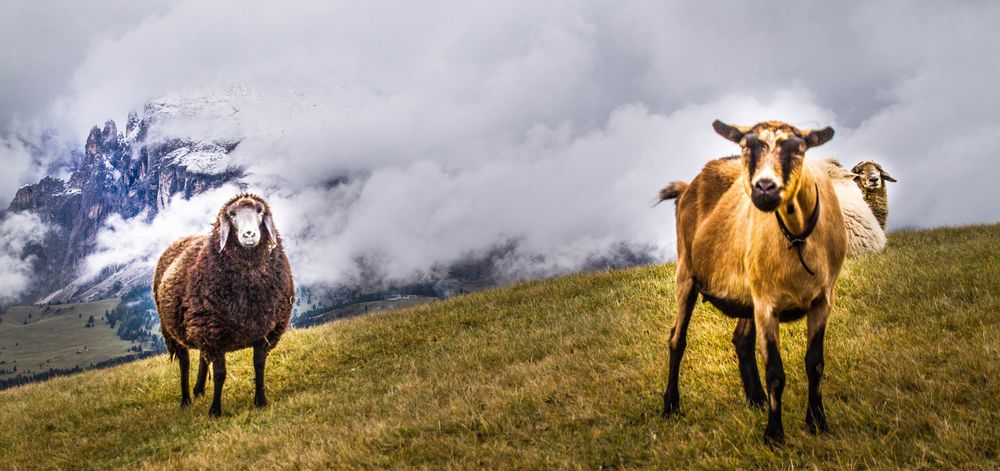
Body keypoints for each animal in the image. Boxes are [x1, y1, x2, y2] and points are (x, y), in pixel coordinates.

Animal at [152, 194, 292, 418]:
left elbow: (259, 365)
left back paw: (198, 390)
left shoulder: (265, 331)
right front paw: (215, 411)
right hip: (174, 329)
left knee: (202, 356)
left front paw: (260, 401)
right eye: (232, 214)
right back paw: (186, 399)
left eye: (260, 211)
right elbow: (220, 375)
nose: (249, 234)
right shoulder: (215, 336)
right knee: (184, 362)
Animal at [660, 120, 848, 444]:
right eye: (746, 147)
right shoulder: (766, 304)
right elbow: (775, 372)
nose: (764, 188)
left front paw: (817, 423)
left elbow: (815, 363)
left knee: (741, 339)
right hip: (687, 272)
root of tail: (687, 186)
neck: (796, 238)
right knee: (677, 338)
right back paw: (671, 405)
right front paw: (774, 435)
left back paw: (756, 398)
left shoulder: (823, 299)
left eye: (799, 149)